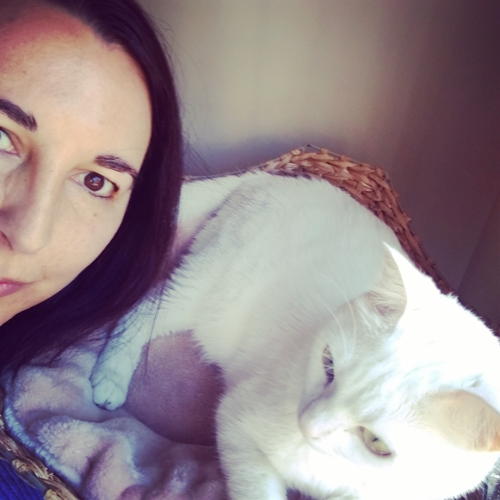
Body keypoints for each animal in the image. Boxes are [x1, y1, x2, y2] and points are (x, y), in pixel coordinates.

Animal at [91, 171, 500, 500]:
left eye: (377, 443)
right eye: (328, 365)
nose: (307, 425)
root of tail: (273, 177)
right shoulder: (237, 427)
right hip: (201, 288)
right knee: (143, 308)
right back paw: (110, 376)